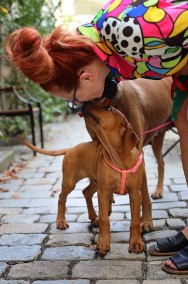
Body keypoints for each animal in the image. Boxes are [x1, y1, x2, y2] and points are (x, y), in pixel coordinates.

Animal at [19, 102, 145, 255]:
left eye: (108, 108)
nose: (86, 103)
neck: (118, 157)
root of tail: (70, 149)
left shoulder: (135, 193)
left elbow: (135, 220)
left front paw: (136, 243)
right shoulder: (104, 191)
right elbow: (105, 219)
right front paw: (103, 242)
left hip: (95, 182)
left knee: (86, 192)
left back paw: (93, 216)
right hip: (70, 181)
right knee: (62, 197)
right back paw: (61, 221)